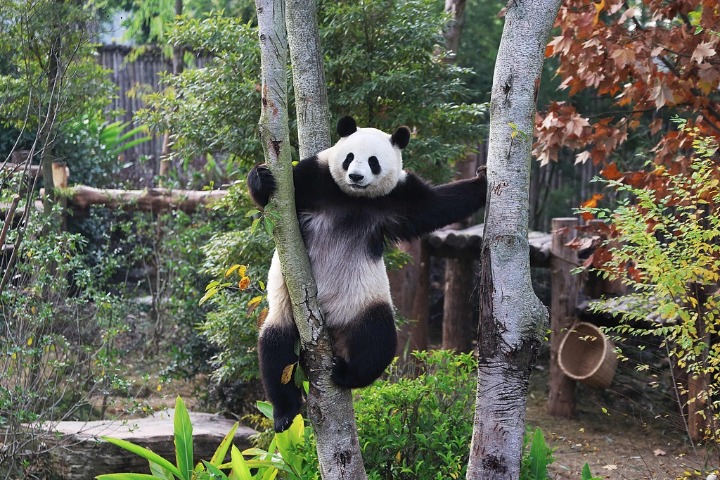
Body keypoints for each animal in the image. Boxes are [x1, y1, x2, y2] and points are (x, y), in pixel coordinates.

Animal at [248, 116, 487, 432]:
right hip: (287, 310)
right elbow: (273, 201)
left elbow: (439, 205)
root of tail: (332, 328)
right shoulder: (316, 178)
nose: (356, 177)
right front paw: (262, 178)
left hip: (363, 304)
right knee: (276, 350)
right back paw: (285, 412)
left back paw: (345, 373)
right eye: (349, 158)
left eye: (373, 162)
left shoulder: (399, 197)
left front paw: (482, 181)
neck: (354, 198)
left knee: (377, 340)